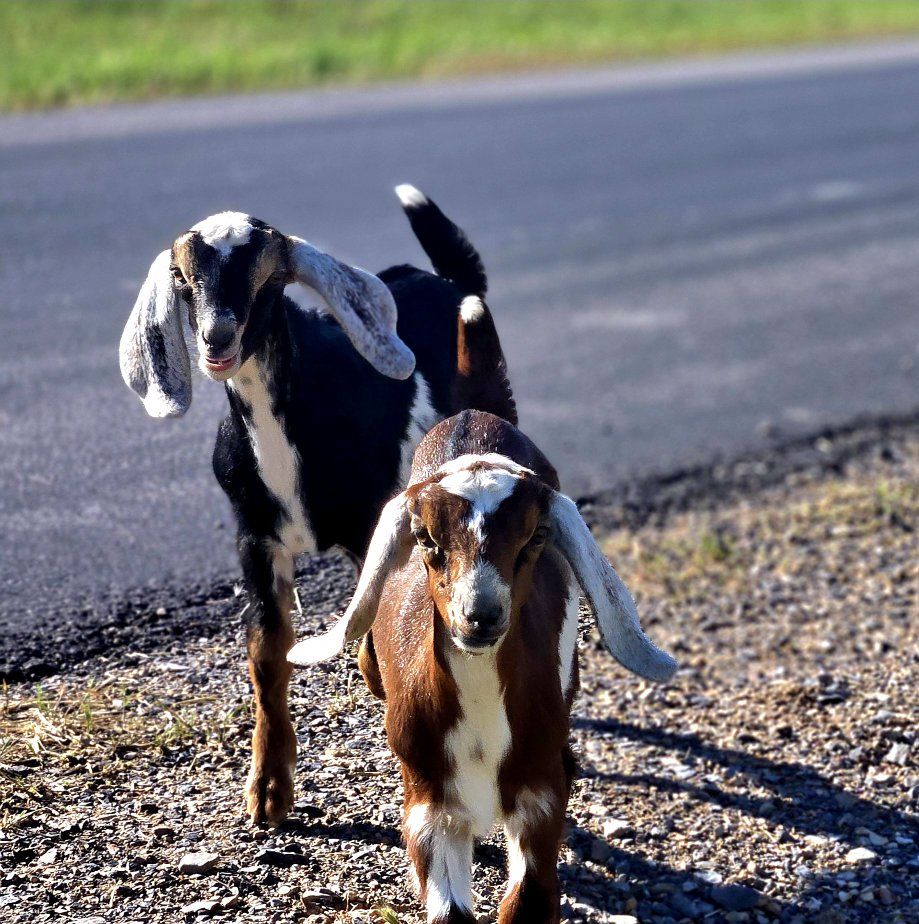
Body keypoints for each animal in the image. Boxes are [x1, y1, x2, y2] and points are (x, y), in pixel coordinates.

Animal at [119, 188, 516, 825]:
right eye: (183, 279)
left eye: (268, 279)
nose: (217, 339)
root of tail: (451, 279)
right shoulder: (255, 539)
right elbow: (266, 653)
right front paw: (267, 793)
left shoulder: (366, 520)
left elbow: (375, 620)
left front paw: (381, 682)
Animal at [289, 409, 677, 924]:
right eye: (425, 537)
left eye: (535, 536)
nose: (481, 614)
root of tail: (472, 417)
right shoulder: (429, 800)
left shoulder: (539, 794)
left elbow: (530, 896)